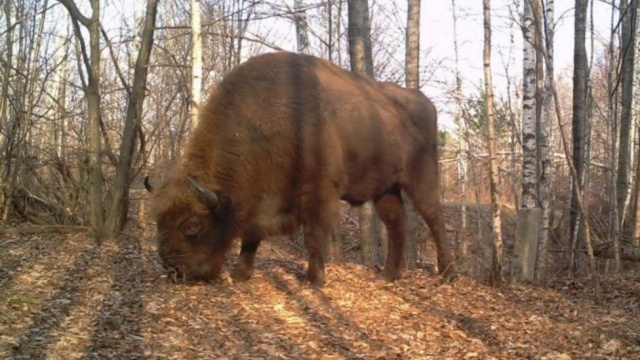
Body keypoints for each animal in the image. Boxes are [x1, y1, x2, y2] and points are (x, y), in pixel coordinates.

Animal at [149, 51, 460, 286]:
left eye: (192, 225)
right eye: (159, 220)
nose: (174, 271)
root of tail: (424, 102)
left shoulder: (318, 193)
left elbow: (313, 236)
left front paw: (315, 279)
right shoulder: (262, 199)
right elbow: (251, 235)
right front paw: (240, 274)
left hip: (422, 179)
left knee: (434, 219)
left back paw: (447, 274)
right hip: (385, 189)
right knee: (397, 225)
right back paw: (387, 276)